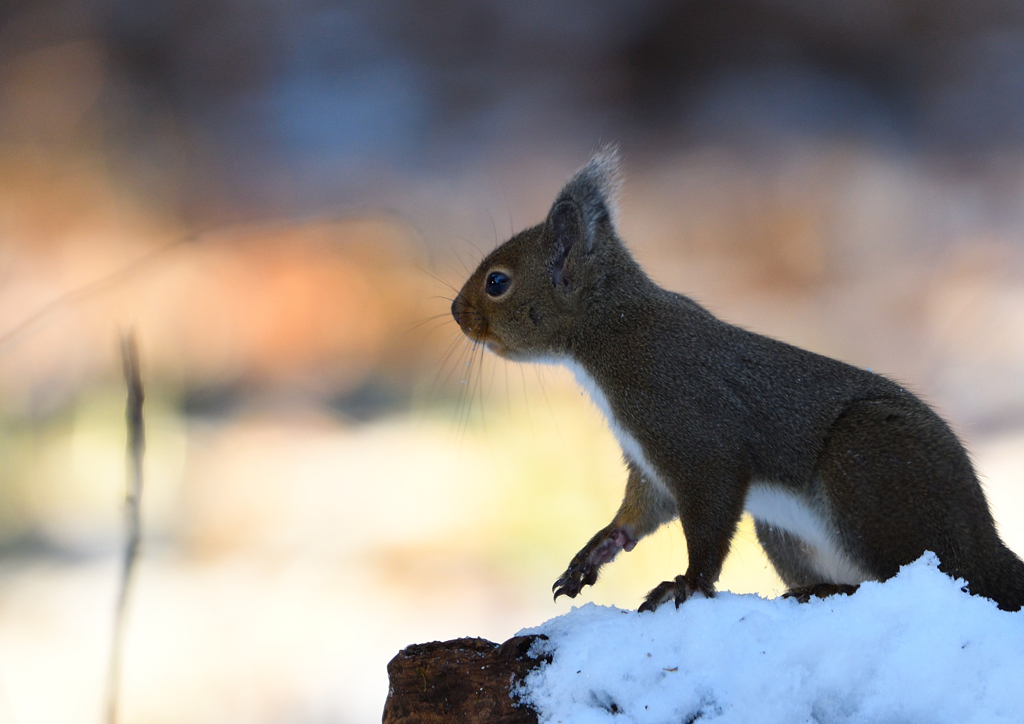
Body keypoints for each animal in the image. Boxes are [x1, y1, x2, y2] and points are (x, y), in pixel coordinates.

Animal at [452, 147, 1024, 610]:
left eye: (497, 282)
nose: (457, 312)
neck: (613, 333)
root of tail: (985, 542)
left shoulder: (692, 428)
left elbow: (709, 516)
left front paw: (686, 584)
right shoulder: (651, 464)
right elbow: (640, 514)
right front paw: (593, 553)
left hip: (868, 470)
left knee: (921, 575)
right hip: (783, 529)